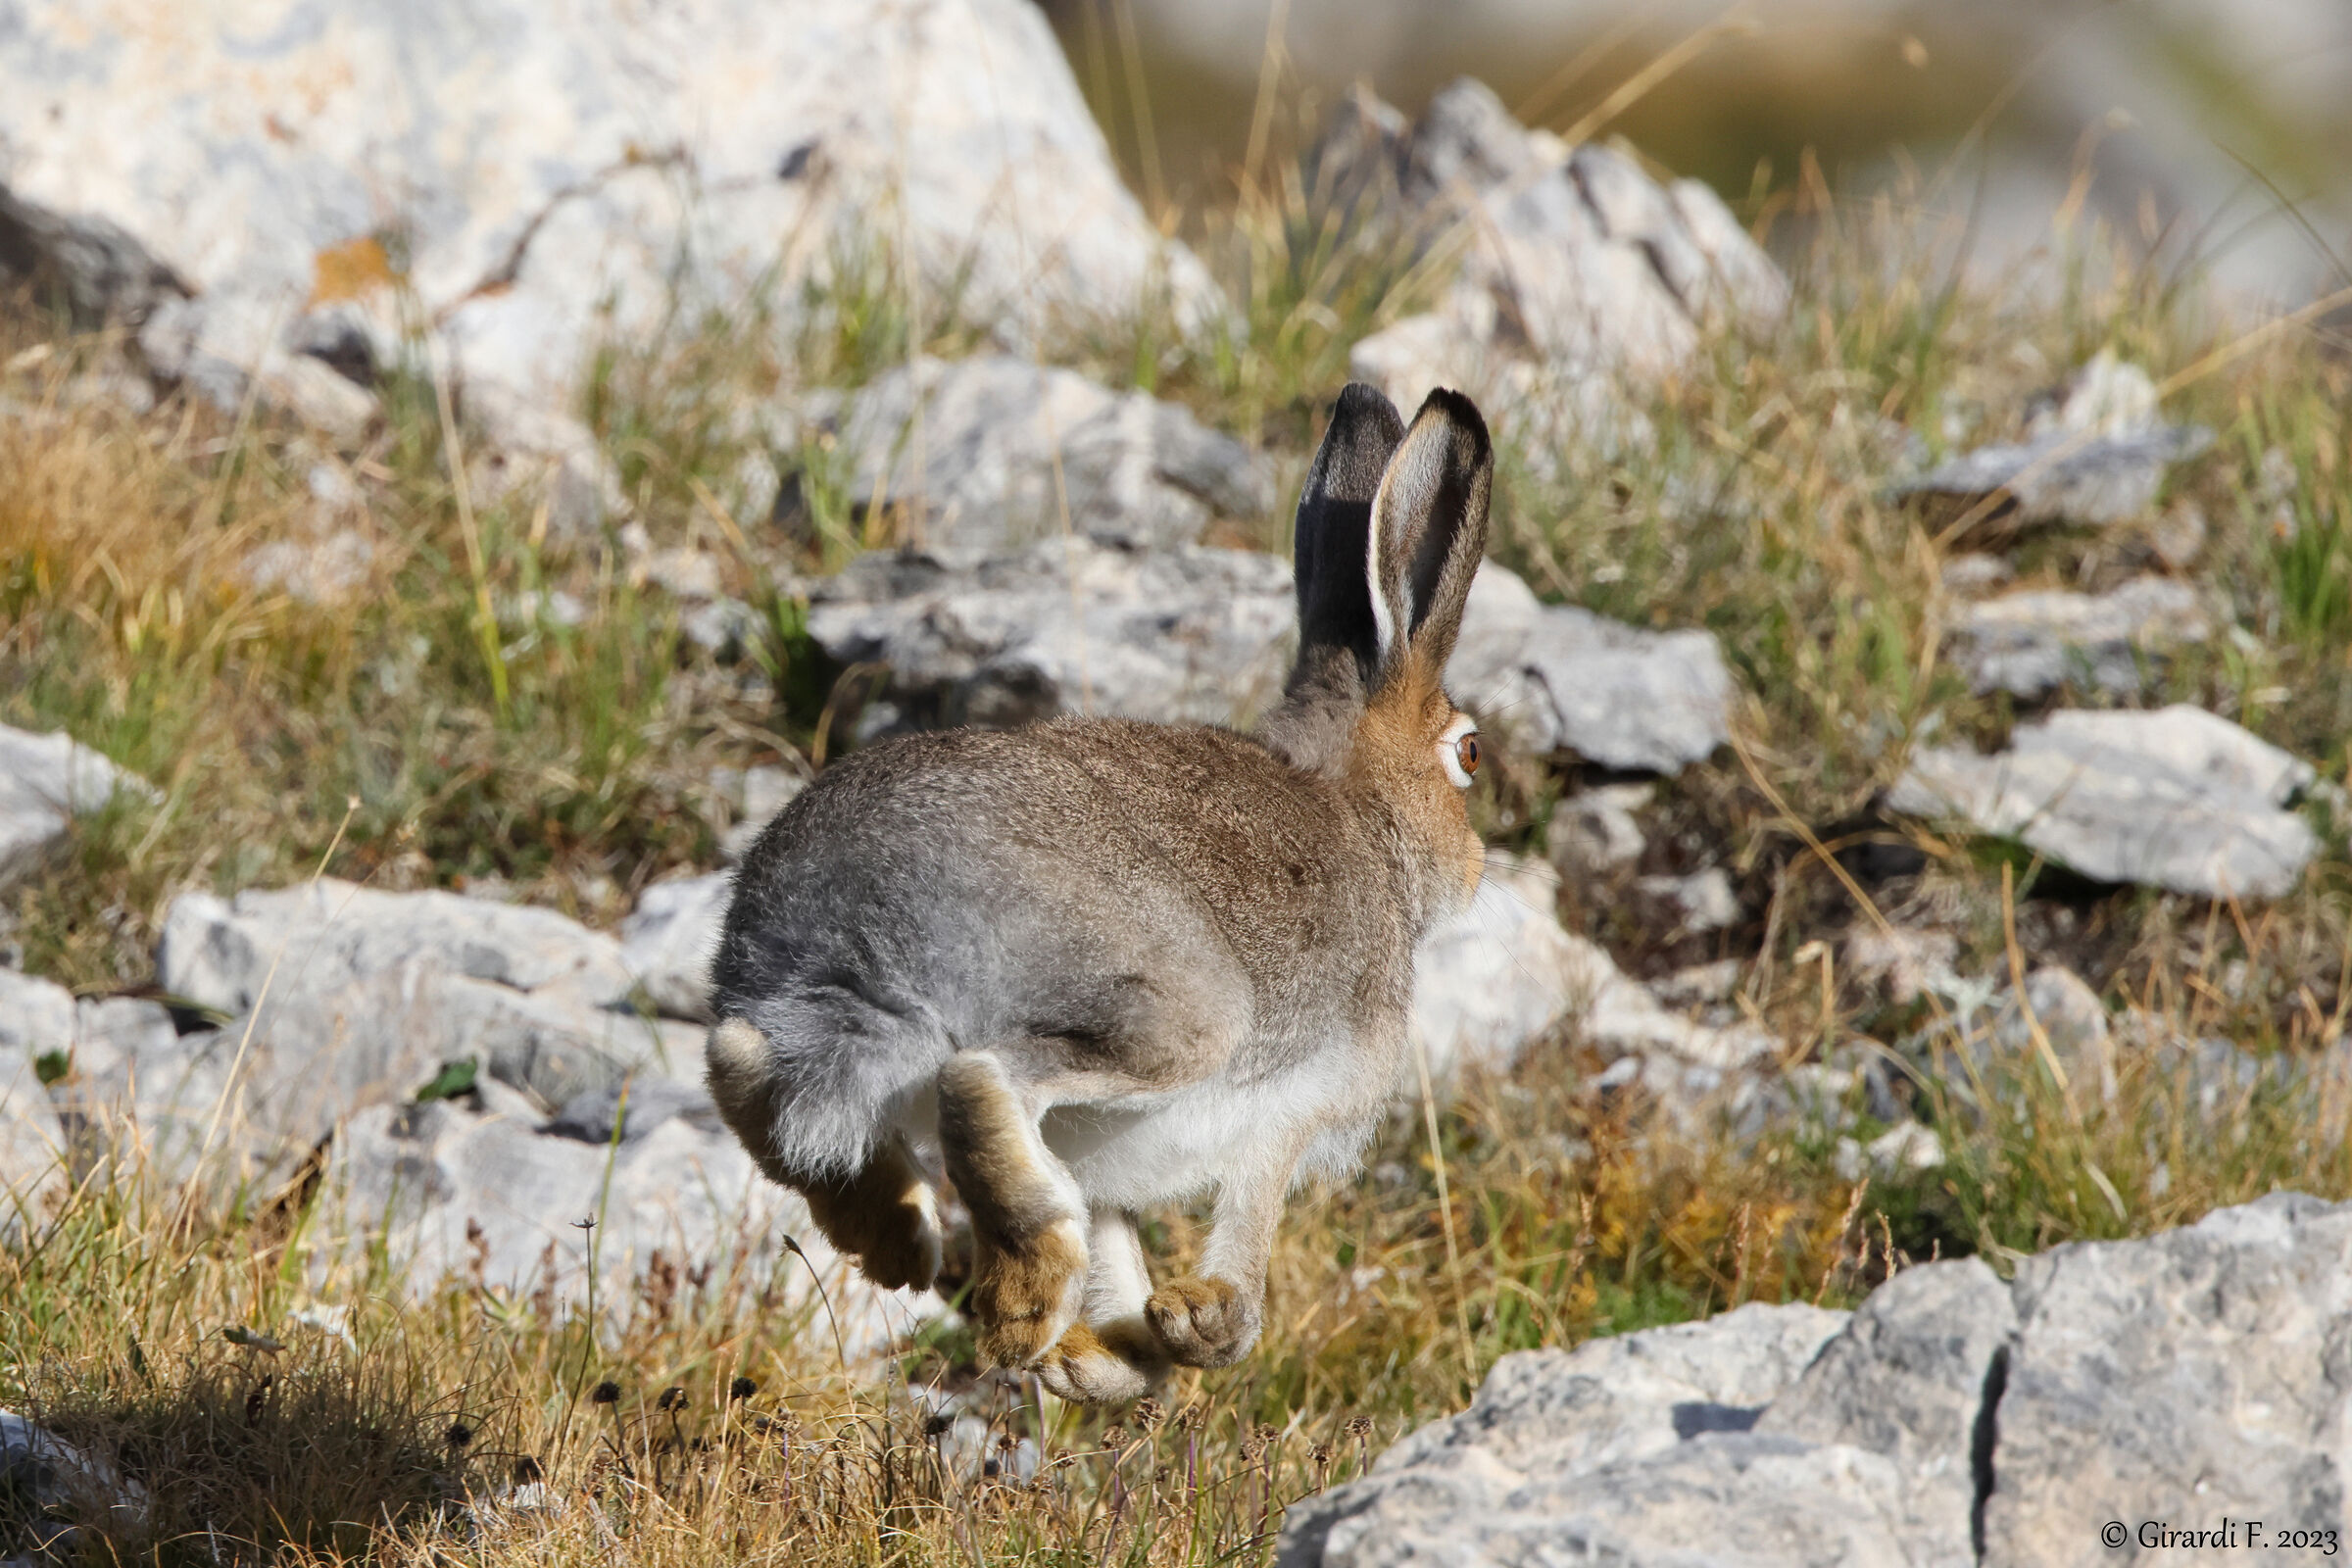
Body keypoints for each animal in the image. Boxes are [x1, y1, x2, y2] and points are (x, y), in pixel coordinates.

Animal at [704, 382, 1493, 1404]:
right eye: (1469, 752)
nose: (1477, 865)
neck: (1358, 804)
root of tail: (860, 936)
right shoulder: (1301, 1103)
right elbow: (1251, 1212)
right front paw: (1205, 1326)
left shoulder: (1099, 1157)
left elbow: (1115, 1239)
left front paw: (1113, 1361)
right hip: (1181, 1015)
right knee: (980, 1075)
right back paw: (1022, 1301)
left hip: (805, 1032)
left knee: (743, 1065)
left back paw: (901, 1244)